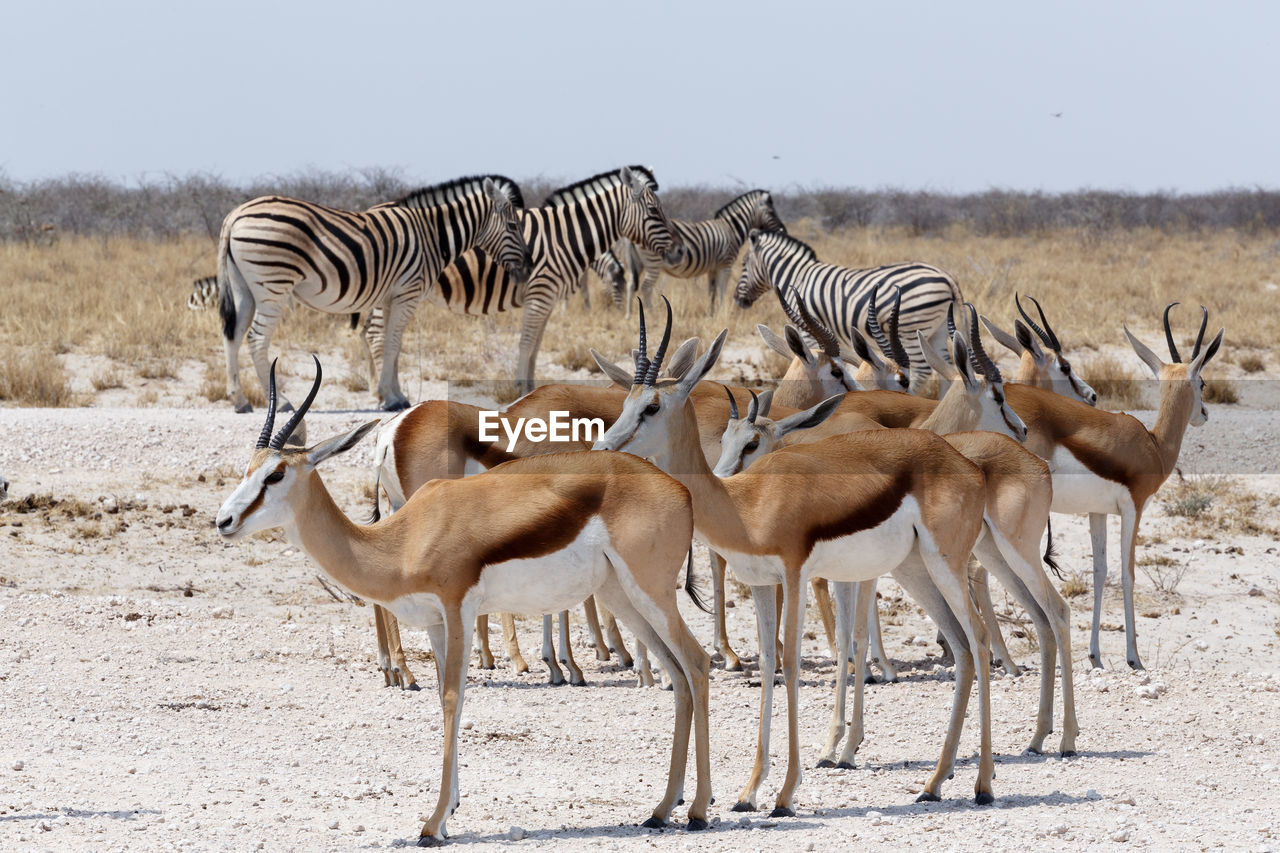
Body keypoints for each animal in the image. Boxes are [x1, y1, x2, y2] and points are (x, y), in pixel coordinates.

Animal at [217, 174, 527, 412]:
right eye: (513, 225)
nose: (528, 267)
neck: (432, 236)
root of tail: (234, 215)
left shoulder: (391, 297)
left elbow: (394, 345)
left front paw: (395, 395)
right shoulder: (407, 293)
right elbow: (391, 343)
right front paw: (391, 398)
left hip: (244, 289)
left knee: (233, 336)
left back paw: (239, 400)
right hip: (273, 284)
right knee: (256, 339)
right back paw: (281, 402)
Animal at [414, 163, 686, 389]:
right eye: (654, 210)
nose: (680, 251)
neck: (564, 237)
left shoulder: (549, 300)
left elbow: (535, 348)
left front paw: (531, 390)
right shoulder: (539, 296)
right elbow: (526, 344)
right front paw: (519, 390)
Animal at [611, 188, 788, 315]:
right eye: (771, 212)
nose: (783, 230)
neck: (731, 229)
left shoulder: (712, 269)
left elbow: (712, 292)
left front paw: (711, 314)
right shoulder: (726, 264)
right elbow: (722, 291)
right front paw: (722, 314)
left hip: (637, 263)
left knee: (631, 284)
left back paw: (629, 315)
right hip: (654, 262)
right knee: (646, 287)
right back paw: (652, 315)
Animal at [732, 230, 962, 379]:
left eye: (743, 264)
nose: (736, 299)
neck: (797, 276)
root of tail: (947, 277)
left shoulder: (807, 328)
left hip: (910, 328)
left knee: (922, 370)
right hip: (937, 330)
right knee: (945, 366)